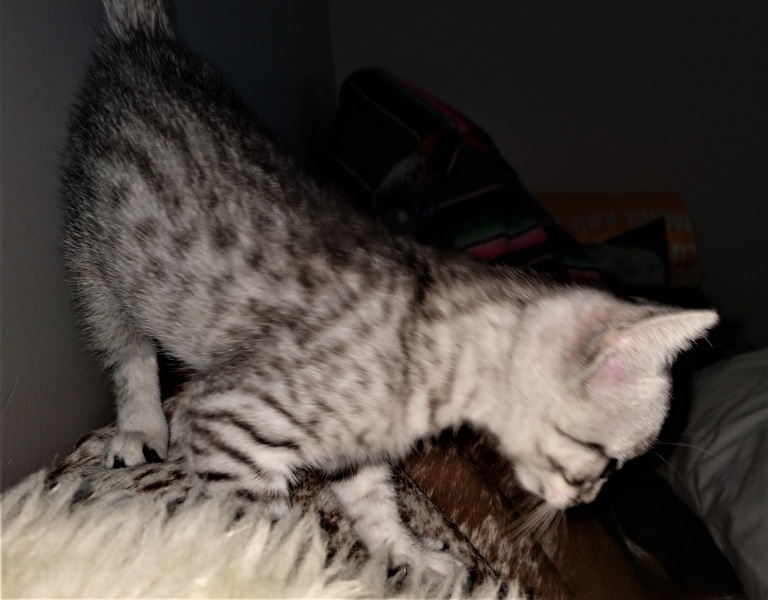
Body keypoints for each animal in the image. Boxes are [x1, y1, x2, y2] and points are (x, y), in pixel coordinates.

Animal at [62, 0, 718, 578]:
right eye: (609, 460)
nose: (587, 501)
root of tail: (147, 46)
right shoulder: (230, 422)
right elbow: (258, 533)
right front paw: (277, 574)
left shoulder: (355, 449)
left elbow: (375, 504)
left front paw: (410, 556)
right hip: (94, 264)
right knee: (127, 353)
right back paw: (141, 427)